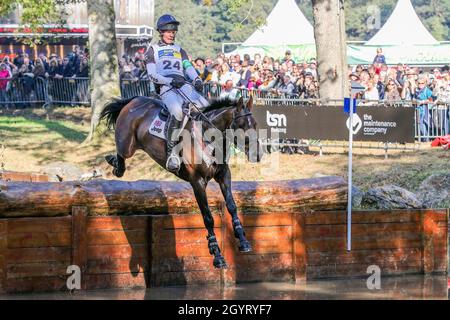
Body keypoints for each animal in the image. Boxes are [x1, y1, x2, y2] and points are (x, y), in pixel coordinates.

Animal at [99, 94, 264, 268]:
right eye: (241, 126)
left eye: (255, 125)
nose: (257, 154)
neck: (208, 137)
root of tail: (135, 99)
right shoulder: (197, 182)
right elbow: (208, 217)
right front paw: (217, 255)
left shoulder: (223, 175)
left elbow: (232, 206)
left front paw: (243, 240)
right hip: (127, 145)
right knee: (121, 157)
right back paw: (114, 163)